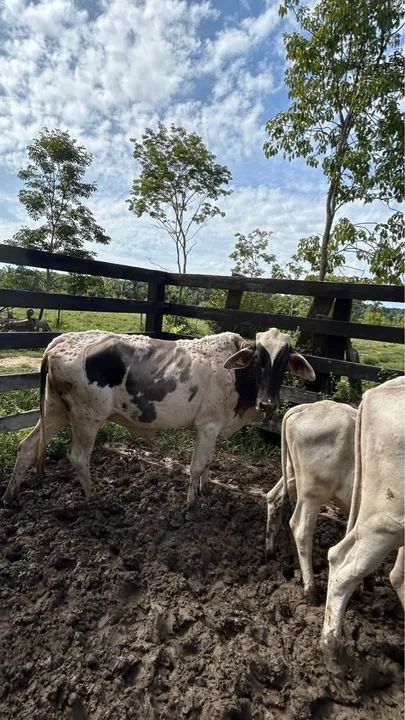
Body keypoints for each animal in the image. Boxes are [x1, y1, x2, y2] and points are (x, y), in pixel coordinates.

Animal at [3, 328, 315, 505]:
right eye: (259, 359)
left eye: (285, 362)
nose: (268, 403)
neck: (235, 376)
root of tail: (59, 342)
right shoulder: (207, 426)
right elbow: (197, 466)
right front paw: (191, 505)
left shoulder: (214, 428)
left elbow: (209, 463)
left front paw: (205, 491)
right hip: (86, 417)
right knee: (78, 457)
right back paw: (94, 498)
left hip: (55, 409)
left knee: (27, 447)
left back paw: (9, 496)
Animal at [265, 400, 357, 599]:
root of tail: (307, 407)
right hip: (312, 493)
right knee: (301, 528)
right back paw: (311, 589)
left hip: (291, 474)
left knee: (273, 497)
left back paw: (269, 551)